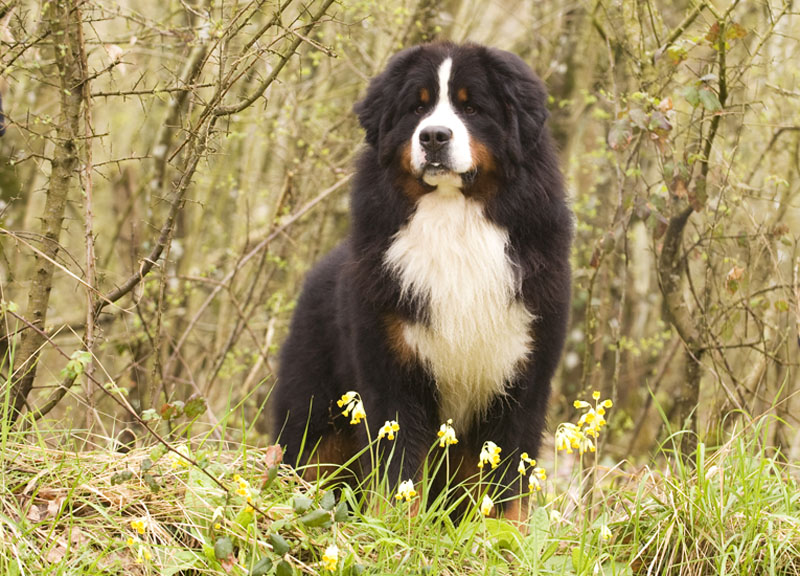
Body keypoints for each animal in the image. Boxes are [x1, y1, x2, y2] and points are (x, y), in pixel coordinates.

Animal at [272, 42, 572, 518]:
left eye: (472, 107)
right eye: (417, 107)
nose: (433, 136)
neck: (454, 226)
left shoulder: (523, 374)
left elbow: (507, 482)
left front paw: (504, 532)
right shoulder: (392, 369)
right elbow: (400, 467)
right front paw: (395, 524)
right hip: (315, 416)